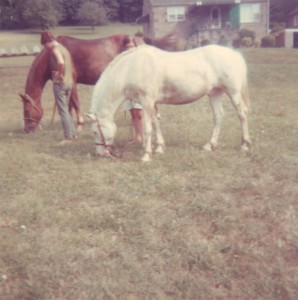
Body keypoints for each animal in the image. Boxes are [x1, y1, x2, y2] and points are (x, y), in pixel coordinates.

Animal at [20, 31, 182, 134]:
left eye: (27, 110)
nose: (27, 129)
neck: (54, 54)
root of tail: (141, 40)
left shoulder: (72, 82)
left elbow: (75, 104)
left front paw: (79, 126)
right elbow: (69, 105)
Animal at [87, 44, 250, 162]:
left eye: (95, 132)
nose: (100, 154)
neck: (132, 68)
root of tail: (235, 54)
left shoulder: (147, 101)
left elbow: (147, 128)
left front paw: (146, 155)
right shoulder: (151, 102)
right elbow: (155, 123)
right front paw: (159, 148)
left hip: (233, 93)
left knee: (242, 115)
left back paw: (244, 145)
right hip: (215, 93)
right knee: (218, 116)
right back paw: (210, 145)